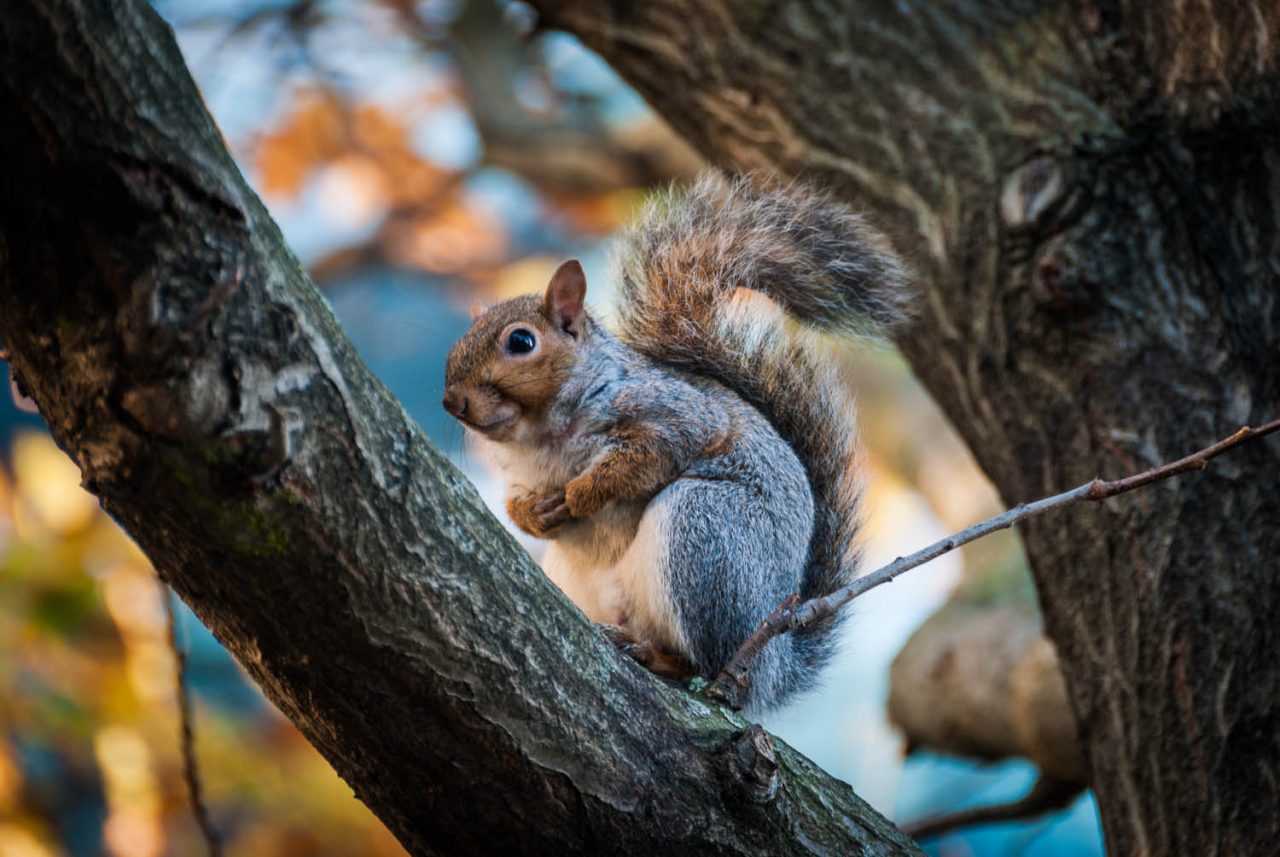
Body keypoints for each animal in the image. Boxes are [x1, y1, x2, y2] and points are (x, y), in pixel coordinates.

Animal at [443, 173, 911, 713]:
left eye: (520, 342)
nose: (452, 402)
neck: (537, 437)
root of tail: (773, 670)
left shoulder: (676, 414)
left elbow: (652, 455)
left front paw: (583, 494)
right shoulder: (519, 474)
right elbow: (516, 501)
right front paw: (535, 515)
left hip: (705, 534)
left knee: (708, 666)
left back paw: (665, 659)